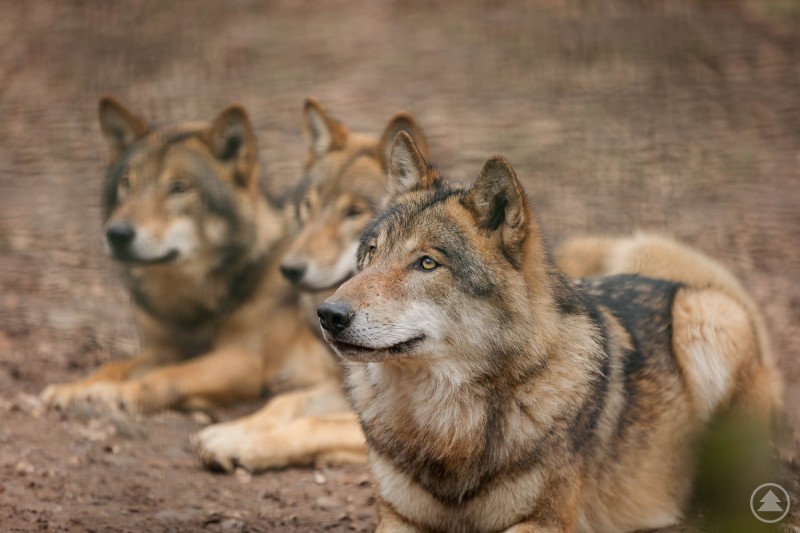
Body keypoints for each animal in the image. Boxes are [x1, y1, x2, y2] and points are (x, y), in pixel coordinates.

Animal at [41, 98, 336, 414]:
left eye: (178, 188)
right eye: (127, 182)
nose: (117, 234)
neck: (189, 303)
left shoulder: (244, 359)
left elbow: (168, 376)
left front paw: (111, 393)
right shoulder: (164, 350)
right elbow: (114, 367)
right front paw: (73, 388)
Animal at [194, 97, 429, 471]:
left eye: (353, 212)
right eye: (308, 205)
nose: (289, 269)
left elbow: (311, 423)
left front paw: (238, 445)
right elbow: (284, 403)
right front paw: (229, 431)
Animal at [318, 132, 783, 532]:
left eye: (427, 263)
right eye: (371, 253)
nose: (328, 314)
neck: (446, 424)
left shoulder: (545, 521)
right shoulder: (397, 518)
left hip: (708, 316)